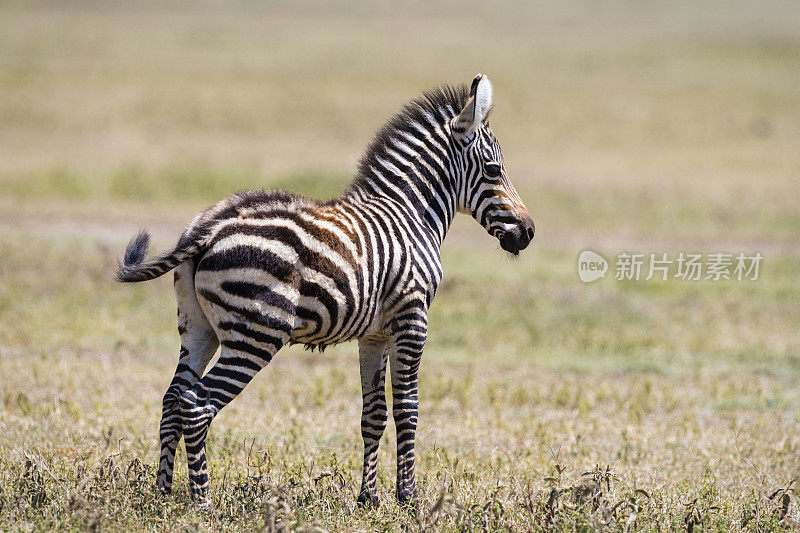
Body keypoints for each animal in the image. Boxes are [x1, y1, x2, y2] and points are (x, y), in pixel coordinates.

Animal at [117, 74, 532, 502]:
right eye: (494, 170)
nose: (528, 231)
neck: (411, 214)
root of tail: (211, 226)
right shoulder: (412, 318)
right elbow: (408, 408)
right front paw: (409, 498)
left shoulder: (374, 335)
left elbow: (373, 414)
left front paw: (368, 499)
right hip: (256, 333)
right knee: (197, 406)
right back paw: (202, 500)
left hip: (199, 328)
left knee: (172, 400)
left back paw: (164, 494)